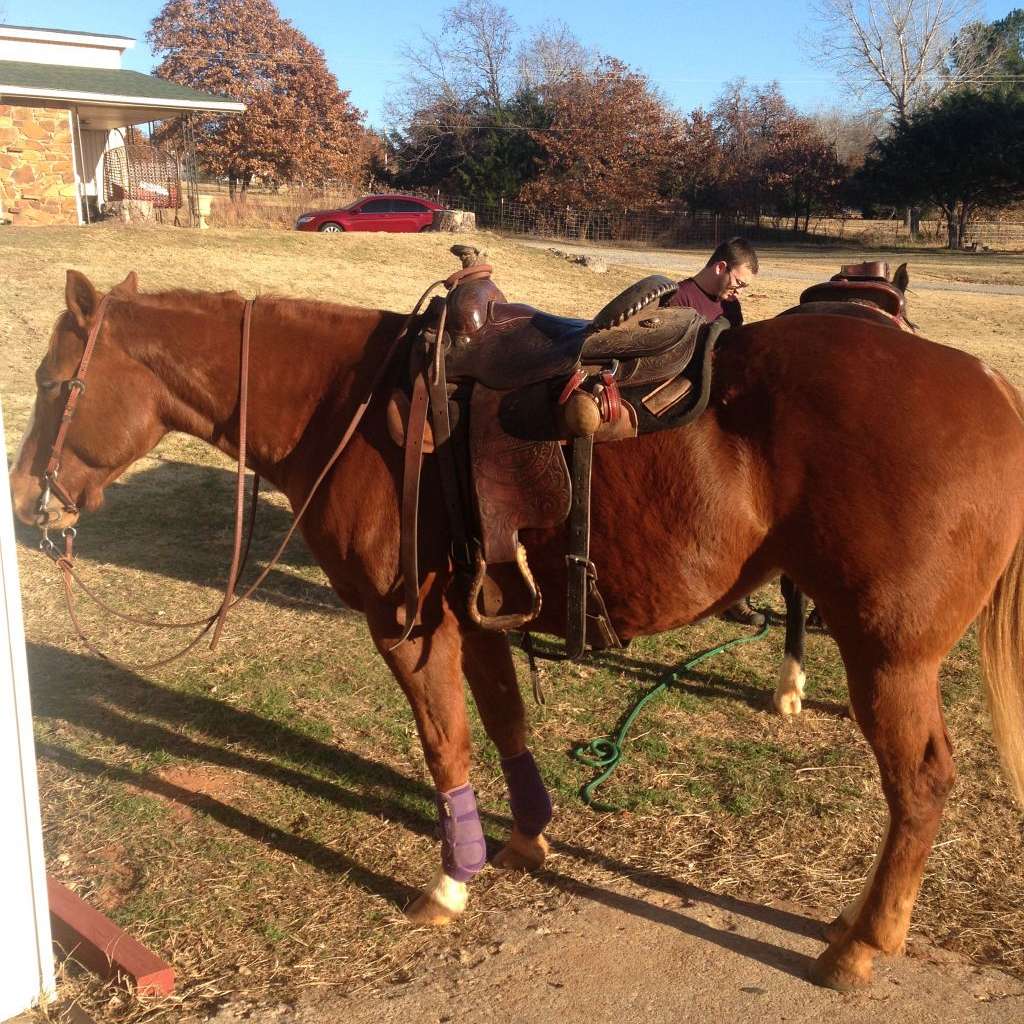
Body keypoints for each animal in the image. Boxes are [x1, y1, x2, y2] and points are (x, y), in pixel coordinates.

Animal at [8, 272, 1024, 991]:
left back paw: (862, 944)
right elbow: (504, 722)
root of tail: (989, 384)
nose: (24, 503)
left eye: (53, 384)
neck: (350, 406)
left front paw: (452, 880)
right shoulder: (481, 608)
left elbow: (445, 743)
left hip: (888, 656)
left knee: (922, 785)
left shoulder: (408, 627)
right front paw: (530, 839)